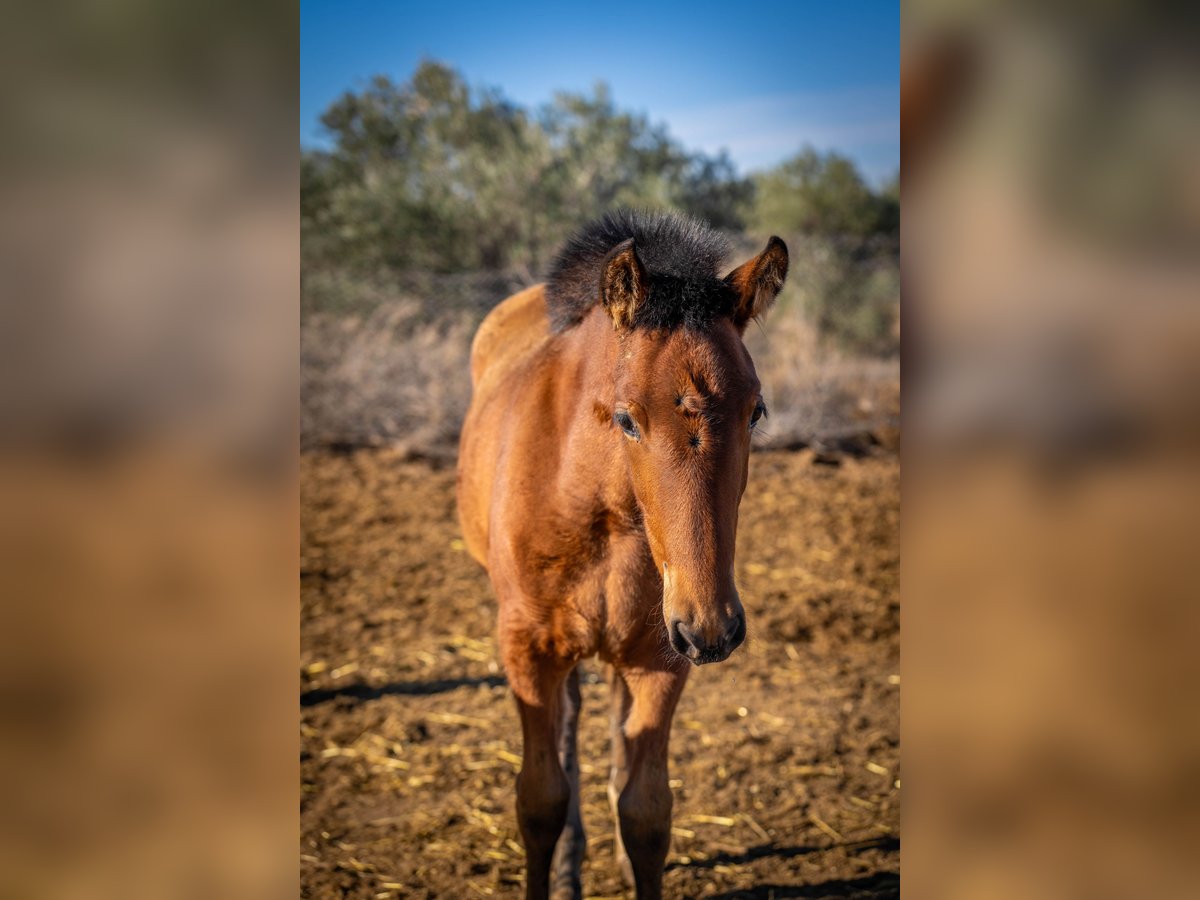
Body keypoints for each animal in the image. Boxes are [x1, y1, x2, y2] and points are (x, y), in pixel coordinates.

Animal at [456, 207, 787, 897]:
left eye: (756, 412)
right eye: (627, 418)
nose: (714, 627)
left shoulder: (659, 656)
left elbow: (647, 812)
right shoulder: (526, 647)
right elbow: (539, 800)